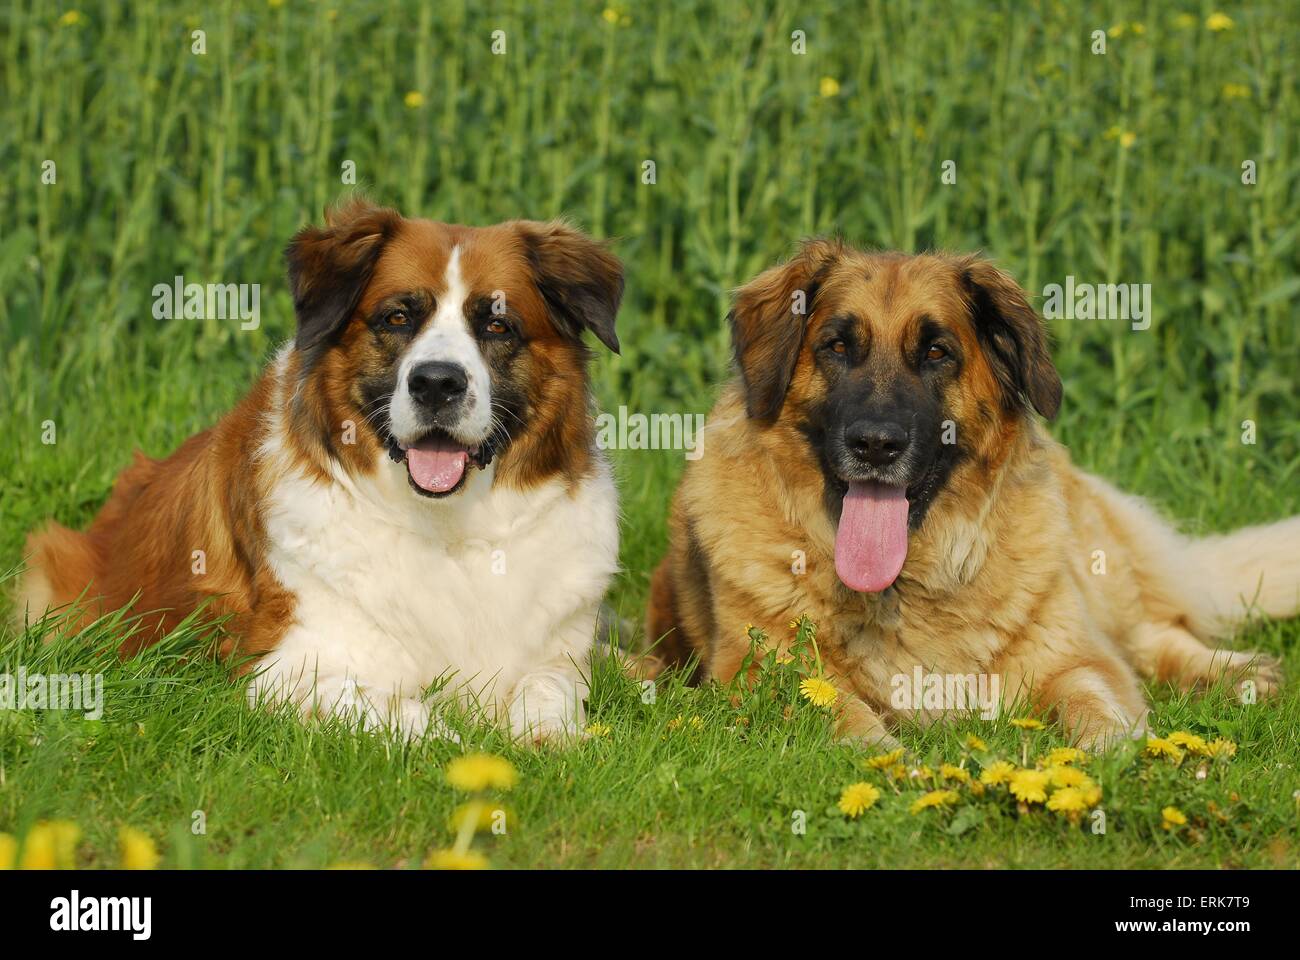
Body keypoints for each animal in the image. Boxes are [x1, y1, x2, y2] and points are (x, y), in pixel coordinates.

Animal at [20, 196, 624, 738]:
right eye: (398, 317)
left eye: (498, 326)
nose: (436, 383)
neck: (449, 527)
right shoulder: (283, 667)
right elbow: (403, 712)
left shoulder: (558, 653)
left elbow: (549, 694)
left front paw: (542, 739)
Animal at [644, 240, 1294, 749]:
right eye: (836, 347)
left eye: (937, 352)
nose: (875, 445)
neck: (907, 584)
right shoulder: (756, 669)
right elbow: (838, 711)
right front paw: (884, 758)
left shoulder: (1072, 655)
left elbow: (1092, 698)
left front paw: (1116, 753)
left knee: (1154, 632)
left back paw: (1238, 673)